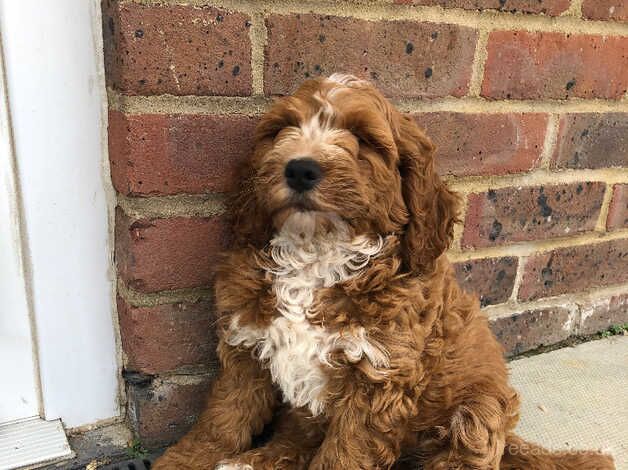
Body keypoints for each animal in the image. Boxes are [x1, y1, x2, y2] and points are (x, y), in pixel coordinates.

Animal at [152, 75, 612, 468]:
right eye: (281, 129)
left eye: (363, 139)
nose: (299, 168)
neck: (316, 256)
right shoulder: (246, 347)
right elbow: (222, 419)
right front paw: (187, 461)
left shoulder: (378, 378)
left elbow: (343, 455)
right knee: (296, 436)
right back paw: (254, 460)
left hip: (477, 411)